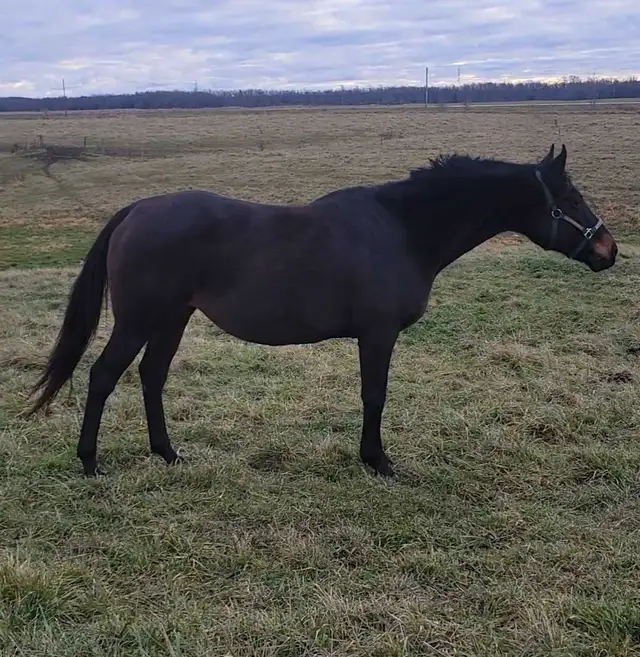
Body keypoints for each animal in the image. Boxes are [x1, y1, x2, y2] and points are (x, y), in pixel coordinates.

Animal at [28, 143, 618, 477]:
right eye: (571, 197)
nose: (609, 249)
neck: (402, 229)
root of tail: (135, 211)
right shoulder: (378, 335)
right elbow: (375, 395)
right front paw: (378, 461)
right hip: (139, 320)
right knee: (104, 376)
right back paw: (90, 462)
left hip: (173, 317)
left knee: (152, 377)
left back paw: (167, 455)